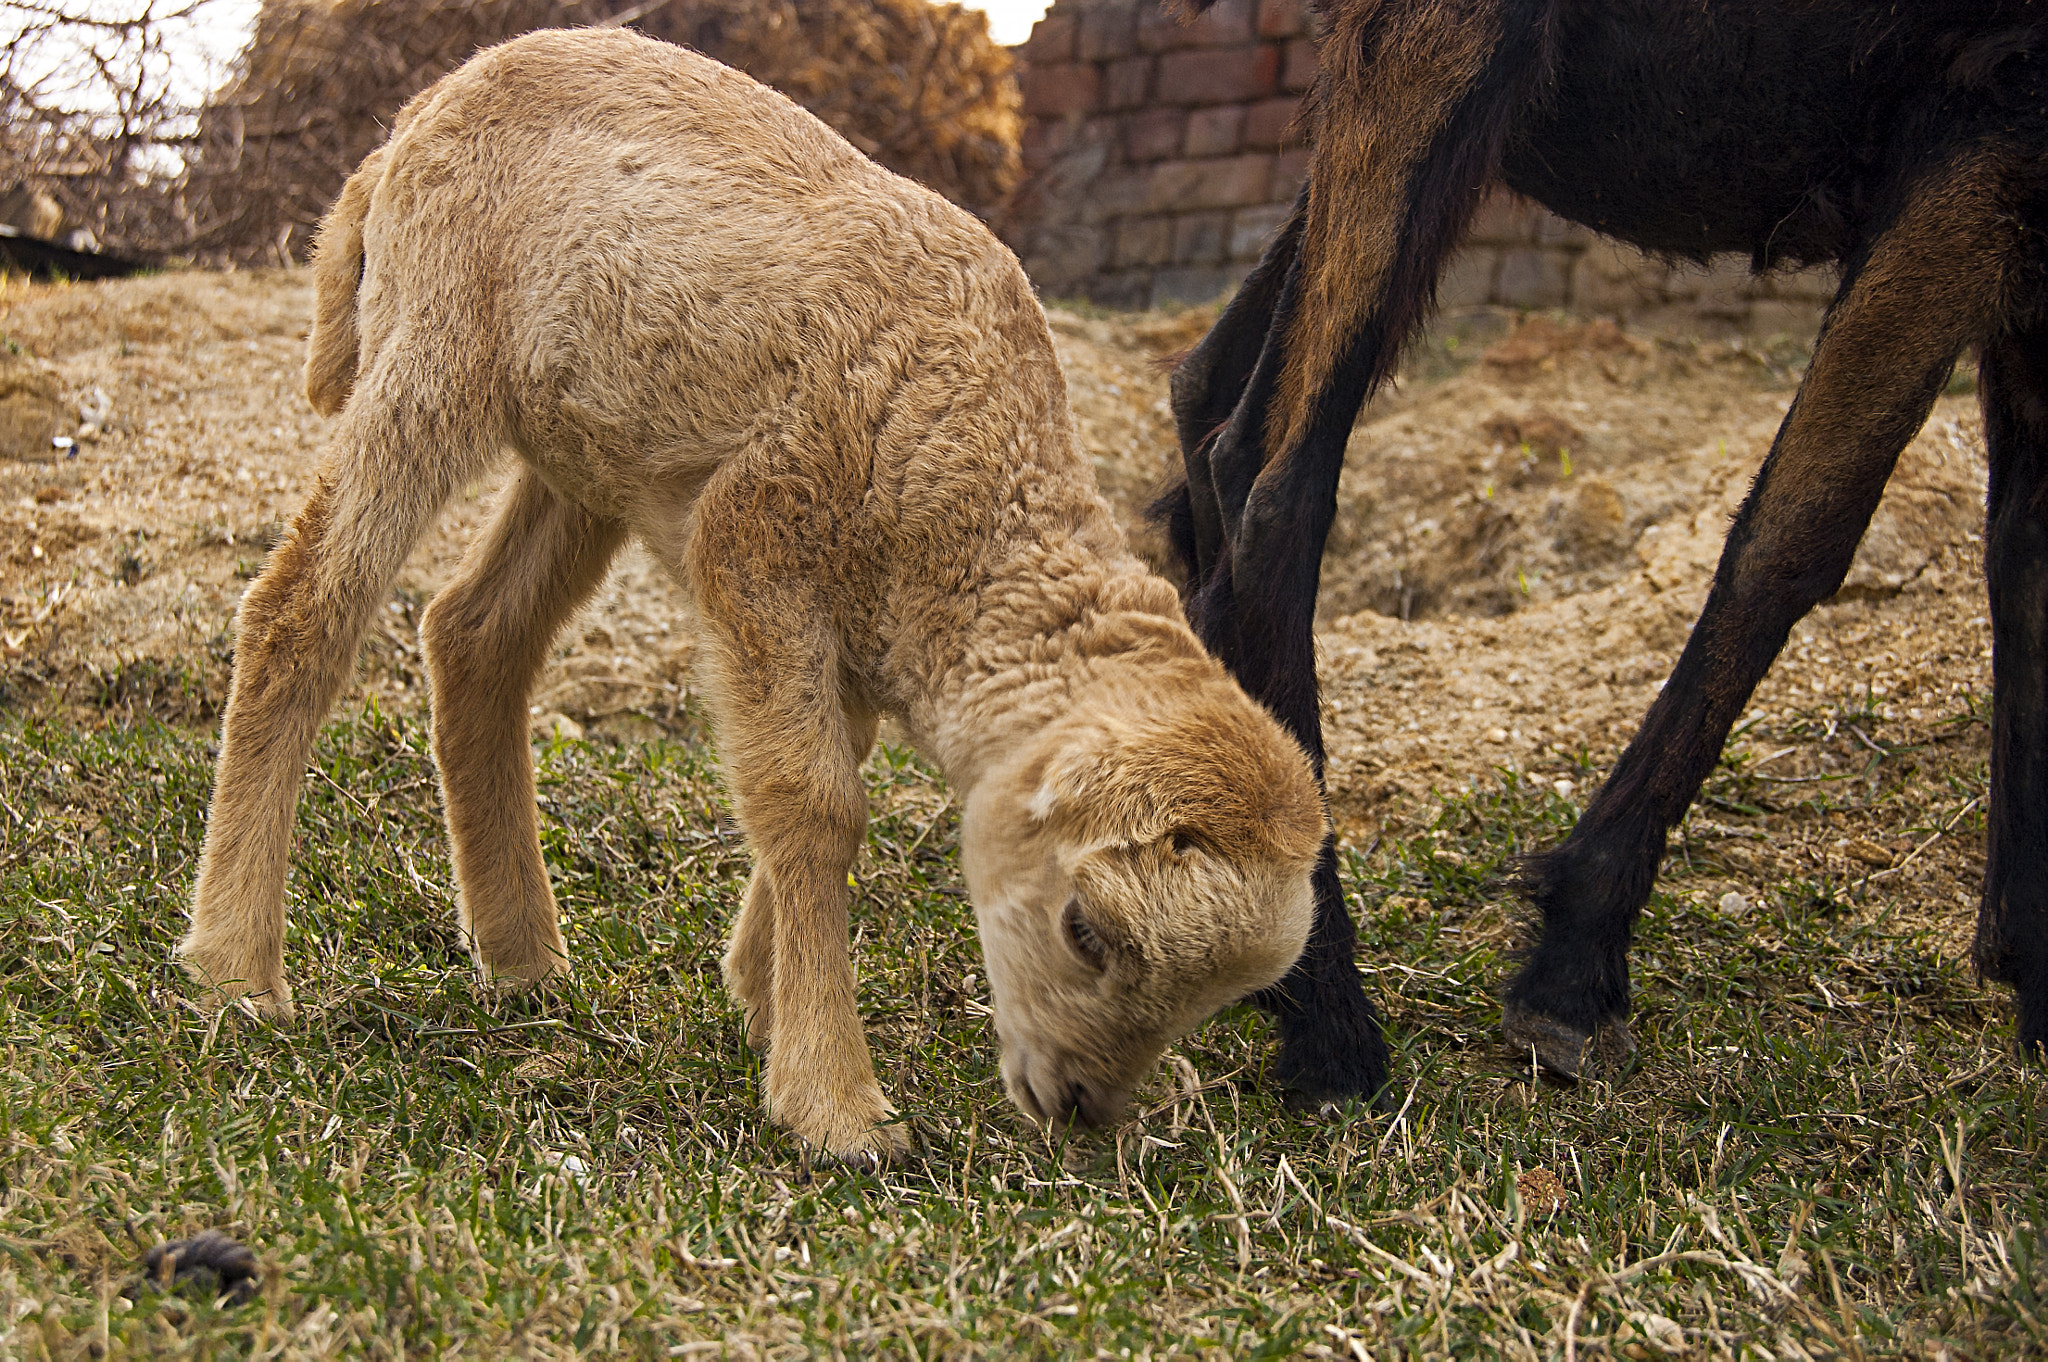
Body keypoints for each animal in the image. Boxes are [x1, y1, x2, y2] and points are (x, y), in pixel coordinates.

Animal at [177, 27, 1326, 1161]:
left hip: (586, 446)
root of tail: (412, 122)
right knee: (300, 610)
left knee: (472, 635)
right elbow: (812, 803)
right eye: (1085, 929)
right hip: (433, 346)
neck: (965, 493)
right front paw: (835, 1102)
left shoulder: (846, 628)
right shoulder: (759, 542)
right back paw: (236, 967)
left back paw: (519, 955)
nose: (1082, 1104)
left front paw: (761, 997)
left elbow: (824, 775)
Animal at [1158, 0, 2048, 1089]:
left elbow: (2020, 552)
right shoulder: (1987, 120)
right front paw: (1572, 962)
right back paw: (1327, 1018)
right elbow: (1797, 534)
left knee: (1207, 394)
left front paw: (2029, 962)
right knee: (1271, 482)